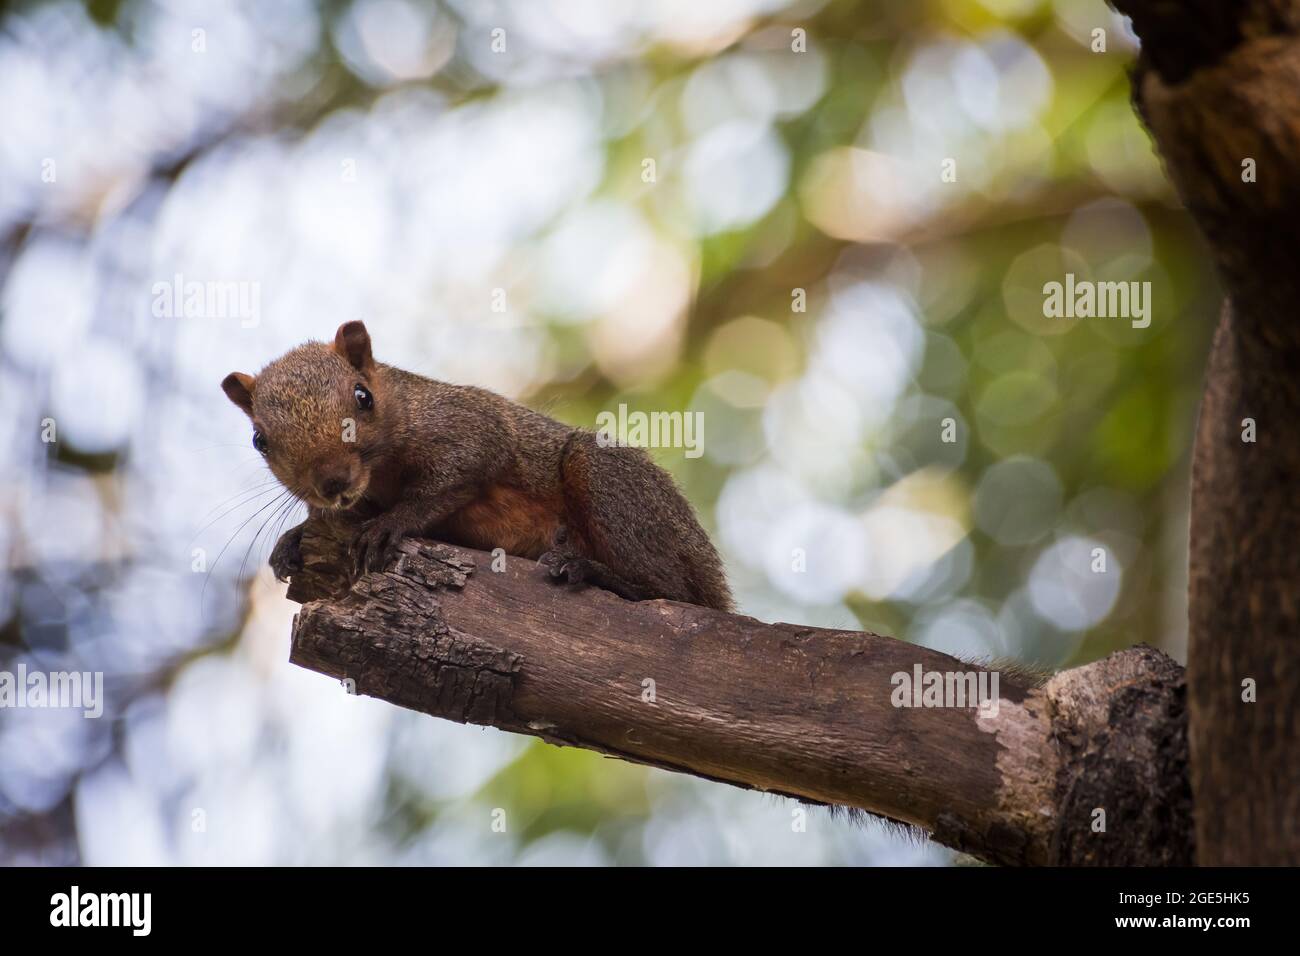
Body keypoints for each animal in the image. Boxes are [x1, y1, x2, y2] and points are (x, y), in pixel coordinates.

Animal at [220, 321, 733, 611]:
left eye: (362, 397)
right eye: (258, 440)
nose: (332, 482)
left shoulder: (468, 427)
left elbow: (455, 477)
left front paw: (390, 524)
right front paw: (293, 539)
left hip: (607, 477)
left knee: (671, 592)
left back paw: (590, 570)